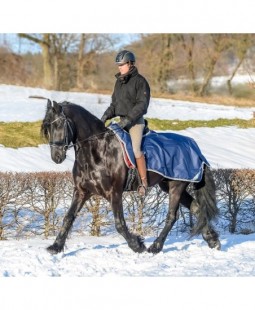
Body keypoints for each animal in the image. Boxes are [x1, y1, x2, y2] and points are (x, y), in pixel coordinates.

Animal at [40, 99, 220, 254]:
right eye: (47, 128)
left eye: (59, 124)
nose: (56, 157)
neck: (96, 150)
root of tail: (194, 147)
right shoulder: (81, 191)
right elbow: (68, 217)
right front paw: (55, 246)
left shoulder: (114, 193)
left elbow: (119, 224)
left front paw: (137, 245)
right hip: (170, 185)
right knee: (197, 208)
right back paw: (213, 240)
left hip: (177, 186)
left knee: (172, 216)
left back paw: (155, 247)